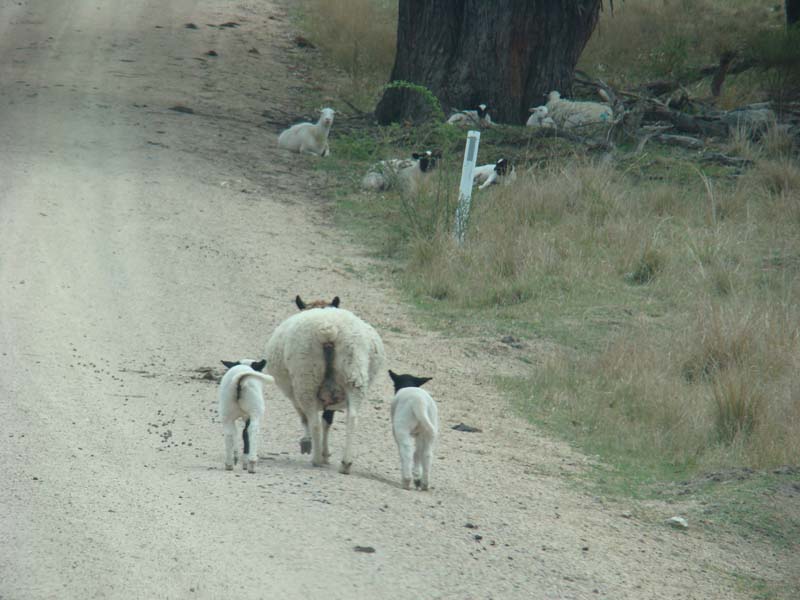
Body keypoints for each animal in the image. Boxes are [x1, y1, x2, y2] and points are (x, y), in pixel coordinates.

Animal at [265, 300, 385, 474]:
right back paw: (346, 463)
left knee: (313, 421)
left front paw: (309, 444)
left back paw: (316, 459)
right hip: (354, 371)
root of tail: (328, 329)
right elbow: (327, 422)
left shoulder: (295, 396)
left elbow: (306, 419)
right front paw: (326, 453)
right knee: (352, 418)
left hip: (306, 377)